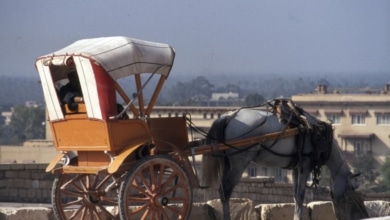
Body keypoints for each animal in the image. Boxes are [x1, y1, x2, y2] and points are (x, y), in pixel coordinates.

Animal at [201, 101, 368, 220]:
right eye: (353, 188)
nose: (362, 213)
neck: (319, 135)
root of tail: (229, 116)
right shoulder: (305, 165)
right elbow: (300, 195)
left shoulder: (295, 168)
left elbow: (295, 196)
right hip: (239, 162)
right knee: (226, 190)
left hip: (226, 162)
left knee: (222, 190)